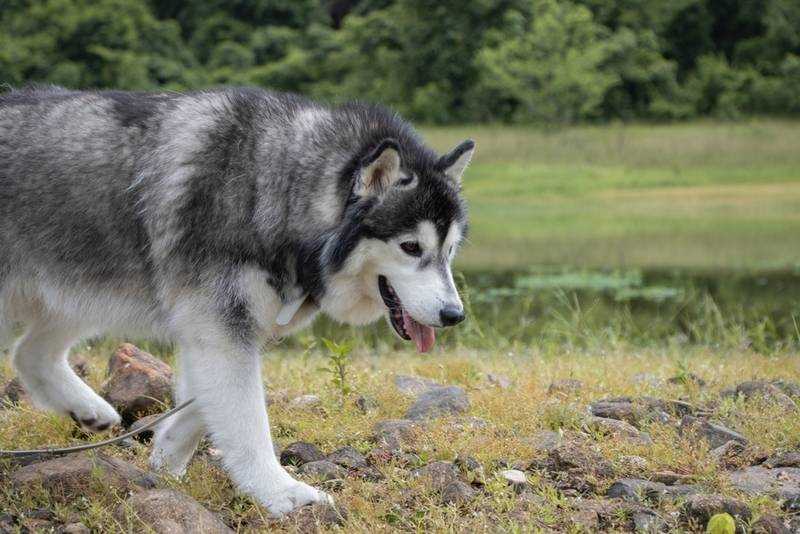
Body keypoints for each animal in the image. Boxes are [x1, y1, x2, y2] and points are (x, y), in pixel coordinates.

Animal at [0, 87, 472, 516]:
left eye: (449, 249)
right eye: (410, 247)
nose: (454, 315)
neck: (274, 187)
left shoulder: (219, 330)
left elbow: (204, 404)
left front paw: (166, 460)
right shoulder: (220, 327)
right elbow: (248, 419)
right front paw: (280, 492)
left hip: (76, 293)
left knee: (29, 353)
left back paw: (86, 408)